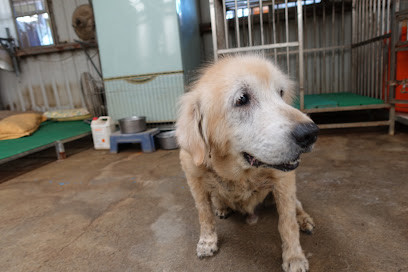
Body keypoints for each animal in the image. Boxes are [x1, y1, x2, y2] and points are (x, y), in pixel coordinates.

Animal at [175, 55, 318, 272]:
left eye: (280, 92)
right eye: (242, 99)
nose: (310, 133)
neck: (240, 173)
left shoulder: (283, 181)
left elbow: (288, 223)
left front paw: (294, 257)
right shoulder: (194, 180)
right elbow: (204, 214)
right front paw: (207, 242)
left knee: (297, 205)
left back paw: (304, 219)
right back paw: (222, 208)